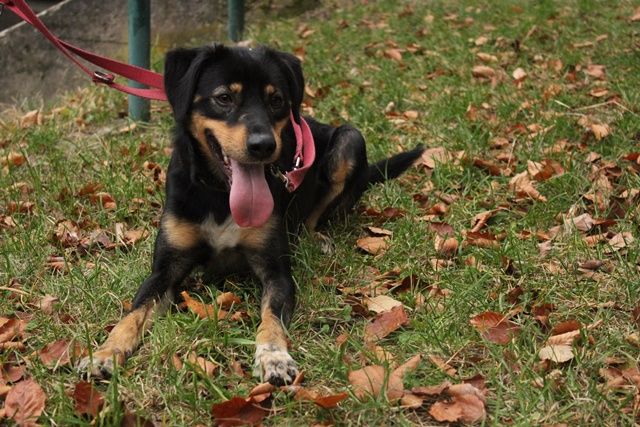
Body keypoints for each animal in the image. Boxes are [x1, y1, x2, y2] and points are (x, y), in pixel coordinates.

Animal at [78, 44, 424, 385]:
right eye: (224, 98)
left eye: (276, 100)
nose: (263, 146)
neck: (220, 194)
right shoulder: (165, 269)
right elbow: (132, 315)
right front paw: (104, 354)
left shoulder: (276, 271)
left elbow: (270, 320)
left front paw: (274, 357)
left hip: (350, 140)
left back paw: (315, 238)